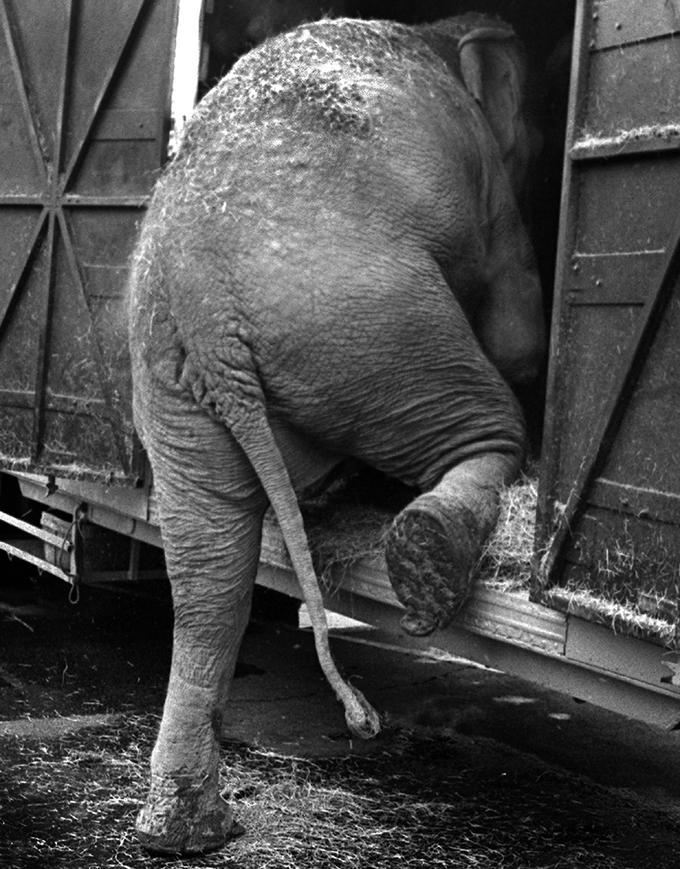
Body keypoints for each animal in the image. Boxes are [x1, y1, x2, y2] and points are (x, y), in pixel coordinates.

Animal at [127, 13, 545, 854]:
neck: (440, 31)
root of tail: (201, 301)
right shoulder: (490, 191)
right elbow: (516, 309)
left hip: (175, 386)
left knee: (207, 569)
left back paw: (185, 831)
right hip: (368, 321)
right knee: (481, 418)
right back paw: (427, 553)